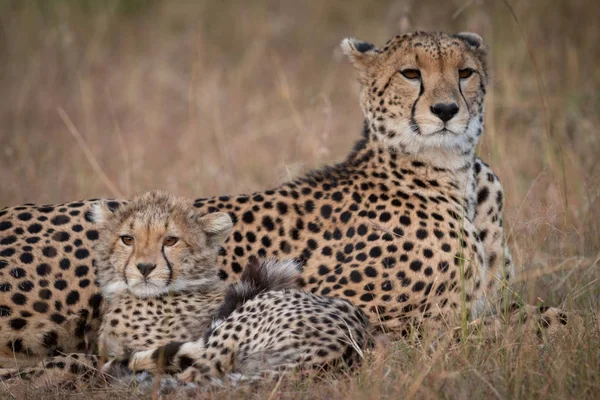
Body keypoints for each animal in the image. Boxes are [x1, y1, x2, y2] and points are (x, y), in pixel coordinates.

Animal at [0, 30, 576, 362]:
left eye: (466, 73)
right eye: (411, 73)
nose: (446, 110)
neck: (455, 171)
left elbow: (544, 313)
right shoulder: (364, 315)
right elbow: (529, 324)